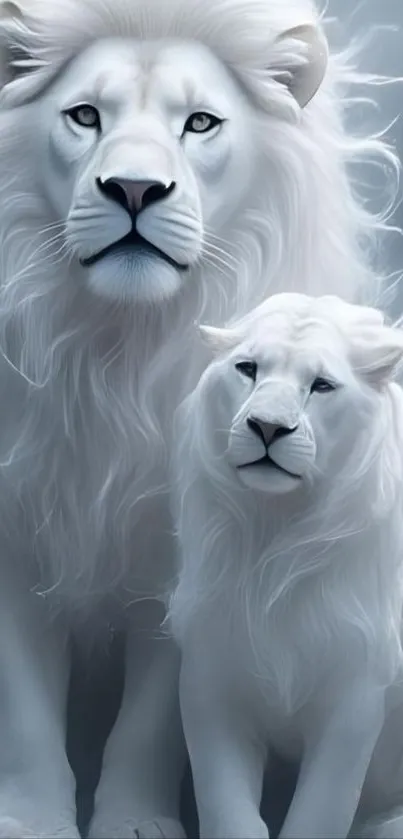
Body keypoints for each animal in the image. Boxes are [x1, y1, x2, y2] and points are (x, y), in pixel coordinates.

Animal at [169, 292, 403, 839]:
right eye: (248, 369)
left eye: (322, 385)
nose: (269, 427)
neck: (274, 535)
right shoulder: (213, 679)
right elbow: (227, 812)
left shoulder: (355, 695)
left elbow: (320, 813)